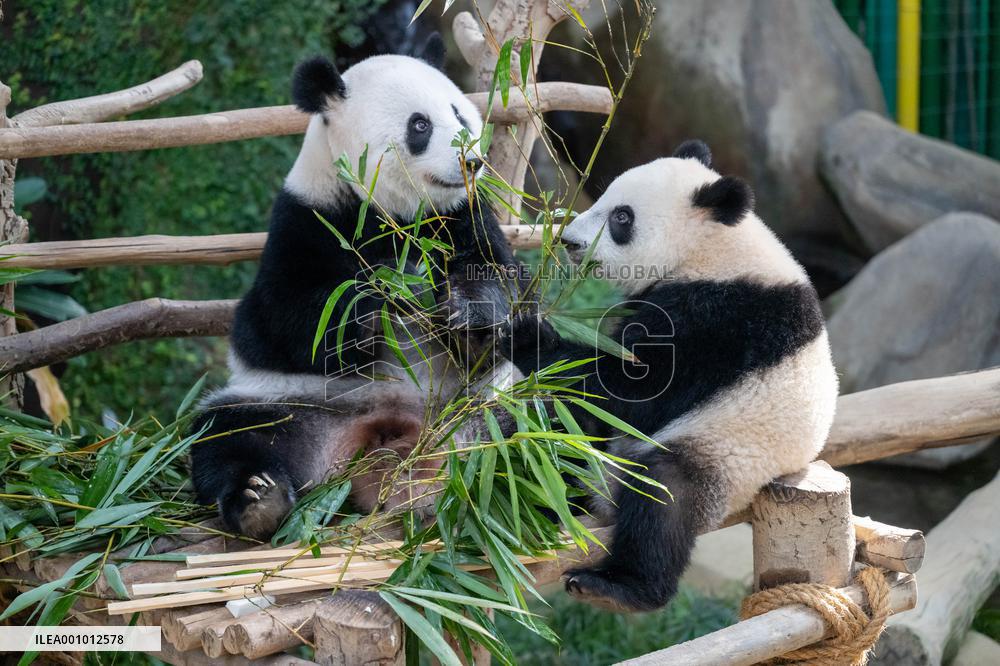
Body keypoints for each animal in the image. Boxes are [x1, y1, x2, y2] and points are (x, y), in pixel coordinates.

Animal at [190, 44, 522, 540]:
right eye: (420, 125)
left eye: (460, 114)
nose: (471, 162)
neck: (396, 215)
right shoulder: (307, 220)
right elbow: (276, 322)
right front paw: (388, 292)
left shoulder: (466, 214)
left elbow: (502, 284)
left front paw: (471, 317)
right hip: (292, 406)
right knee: (228, 437)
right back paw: (258, 501)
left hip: (487, 403)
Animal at [502, 140, 838, 612]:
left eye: (622, 217)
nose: (569, 241)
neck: (712, 247)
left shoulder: (721, 319)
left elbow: (632, 386)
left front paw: (525, 332)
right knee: (557, 439)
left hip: (723, 454)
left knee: (663, 496)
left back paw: (620, 587)